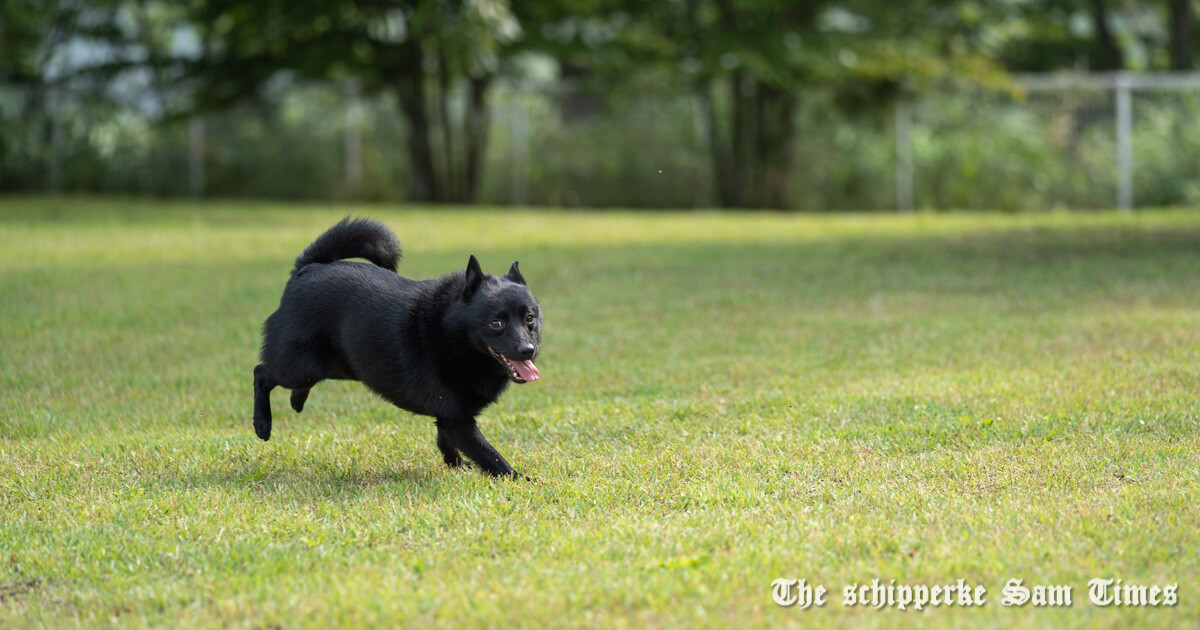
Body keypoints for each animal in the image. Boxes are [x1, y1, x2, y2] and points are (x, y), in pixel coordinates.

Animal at [253, 217, 544, 477]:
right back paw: (262, 424)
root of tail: (307, 268)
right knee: (262, 373)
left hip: (336, 366)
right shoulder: (458, 420)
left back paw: (296, 401)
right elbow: (490, 456)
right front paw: (520, 479)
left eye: (529, 318)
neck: (450, 332)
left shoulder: (449, 415)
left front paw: (455, 465)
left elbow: (445, 439)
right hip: (301, 366)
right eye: (496, 323)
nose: (527, 350)